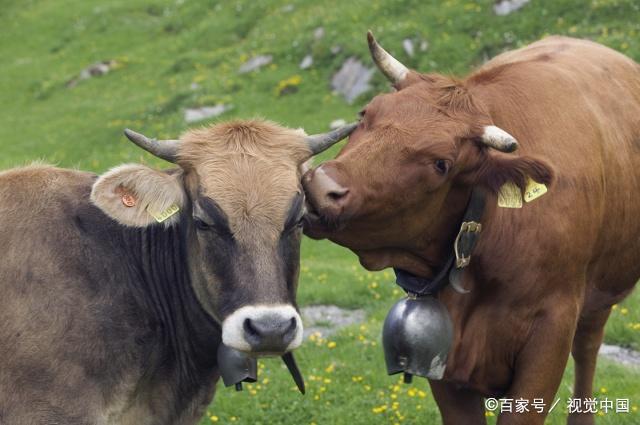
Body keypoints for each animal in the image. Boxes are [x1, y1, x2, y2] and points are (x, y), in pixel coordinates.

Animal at [304, 34, 640, 424]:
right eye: (365, 114)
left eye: (441, 164)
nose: (321, 187)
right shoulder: (444, 356)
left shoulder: (549, 337)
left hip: (599, 293)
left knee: (587, 347)